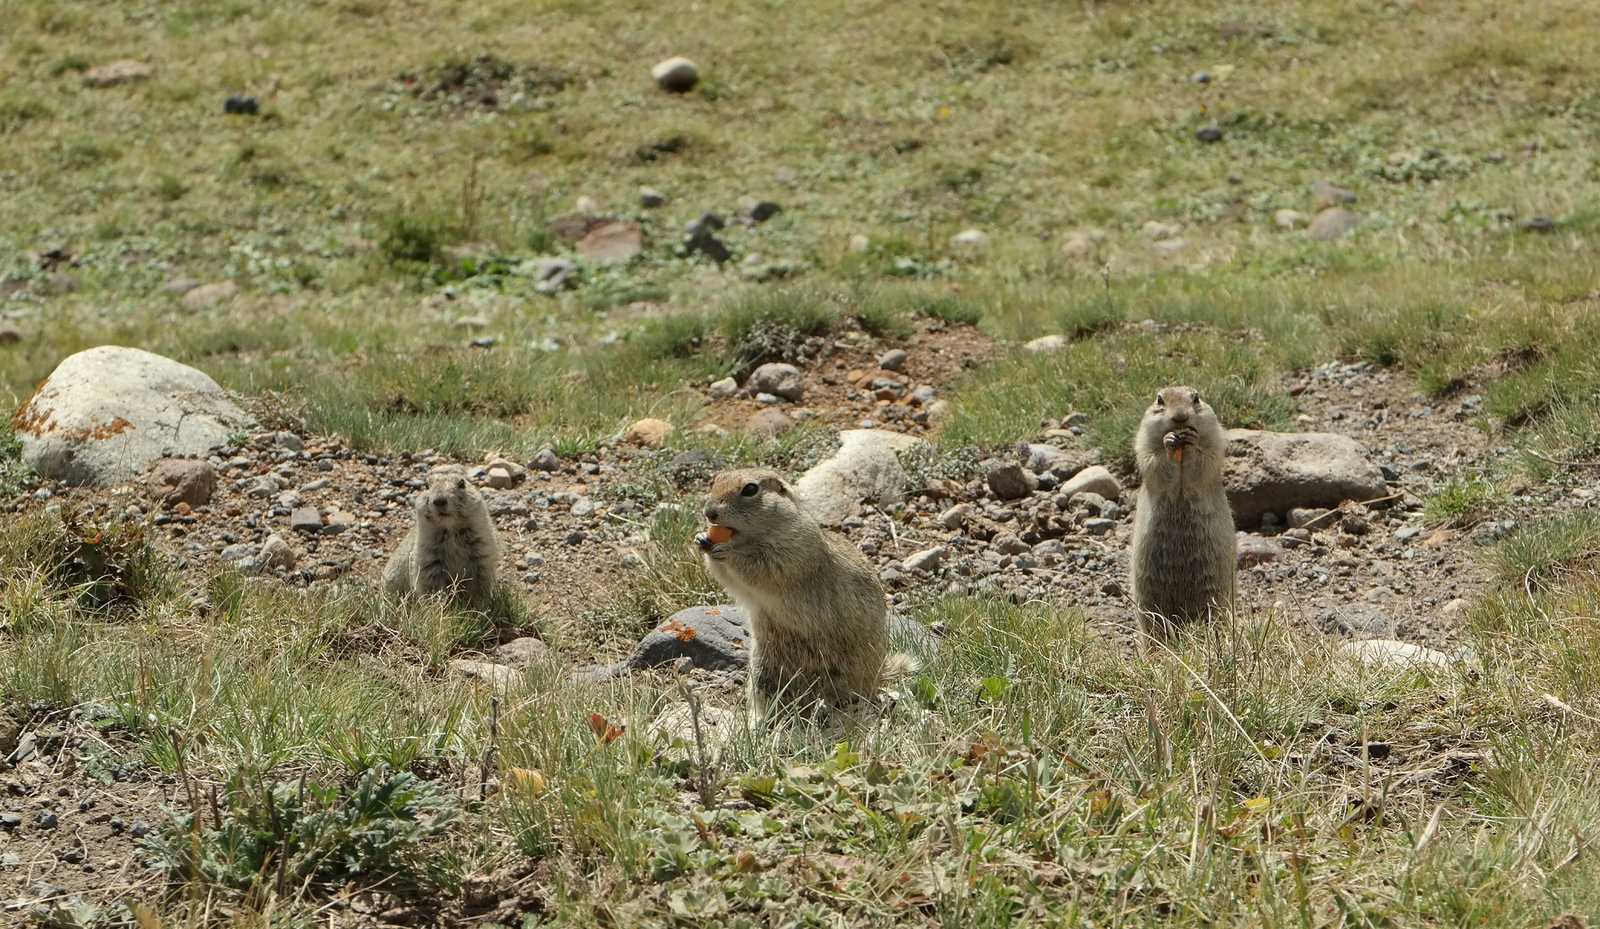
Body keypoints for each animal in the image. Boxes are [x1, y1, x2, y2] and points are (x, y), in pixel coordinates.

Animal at [382, 463, 496, 601]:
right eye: (426, 485)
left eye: (461, 483)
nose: (439, 500)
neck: (451, 529)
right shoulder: (428, 558)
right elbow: (431, 585)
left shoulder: (481, 553)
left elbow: (479, 583)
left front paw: (479, 603)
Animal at [697, 463, 889, 716]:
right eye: (716, 480)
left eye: (750, 489)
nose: (709, 513)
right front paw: (701, 538)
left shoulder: (793, 548)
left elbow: (762, 566)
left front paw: (727, 552)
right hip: (765, 667)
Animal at [1126, 380, 1235, 633]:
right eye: (1159, 400)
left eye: (1196, 398)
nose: (1180, 417)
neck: (1181, 453)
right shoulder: (1144, 441)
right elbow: (1152, 460)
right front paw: (1168, 442)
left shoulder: (1214, 440)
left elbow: (1206, 459)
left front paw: (1192, 442)